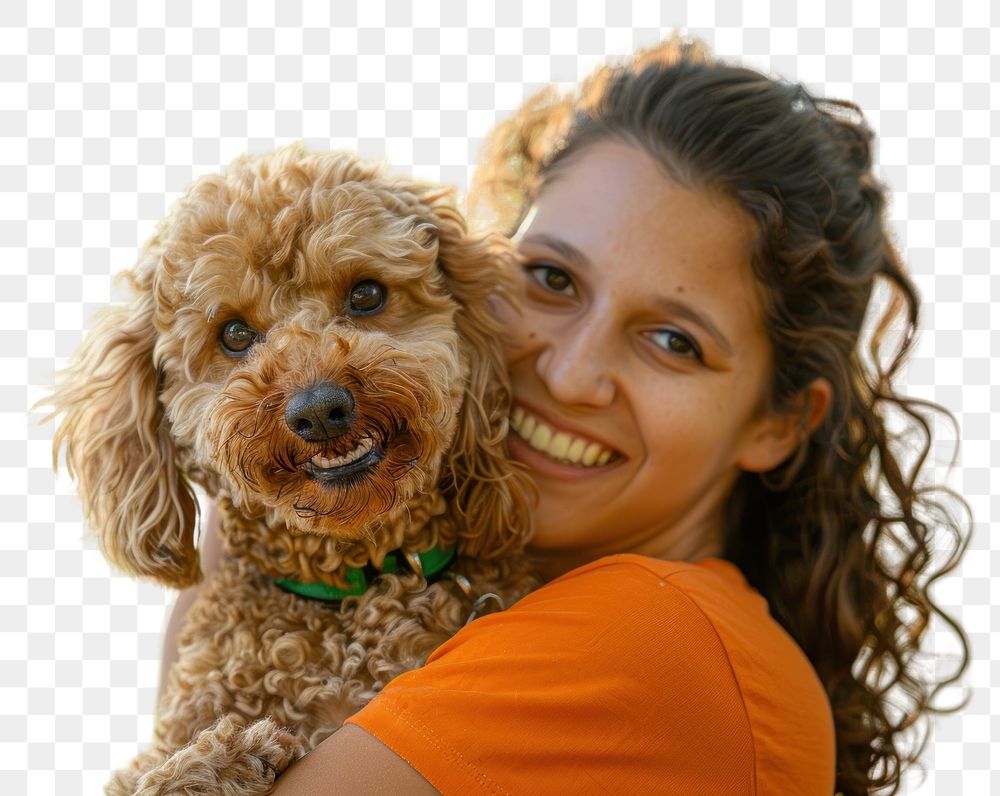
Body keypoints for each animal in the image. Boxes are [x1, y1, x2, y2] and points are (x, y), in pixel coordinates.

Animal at [48, 145, 540, 796]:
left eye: (367, 295)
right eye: (234, 333)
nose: (320, 410)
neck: (356, 587)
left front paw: (226, 758)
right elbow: (153, 779)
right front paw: (223, 758)